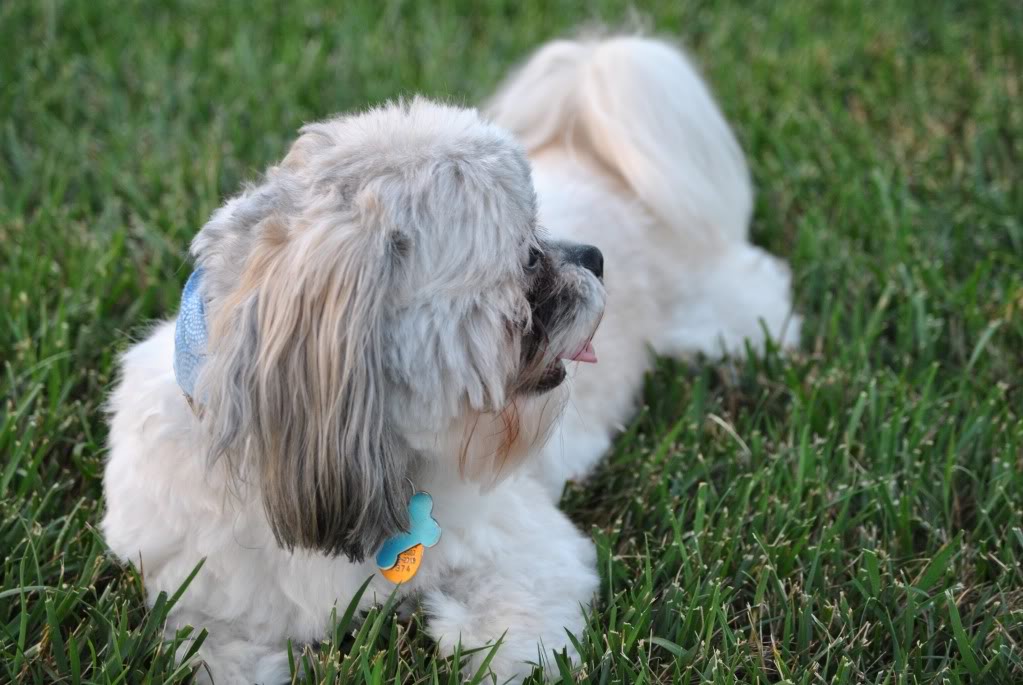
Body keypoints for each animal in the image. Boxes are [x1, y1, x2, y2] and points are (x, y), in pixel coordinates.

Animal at [99, 33, 797, 685]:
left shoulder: (527, 552)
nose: (594, 257)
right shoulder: (203, 606)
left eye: (541, 229)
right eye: (528, 257)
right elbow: (212, 648)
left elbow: (513, 637)